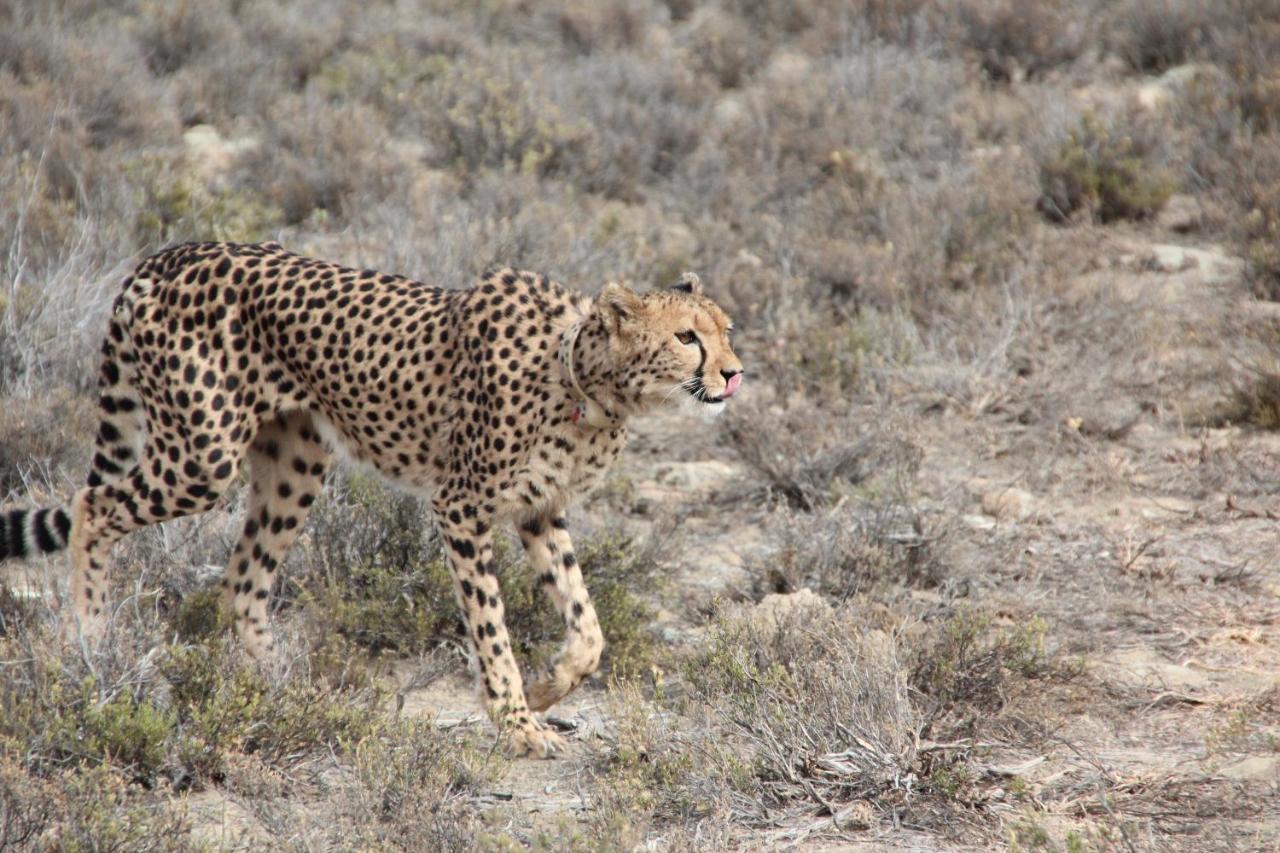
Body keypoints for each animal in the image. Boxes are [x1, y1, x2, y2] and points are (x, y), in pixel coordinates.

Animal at [0, 242, 742, 753]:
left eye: (726, 329)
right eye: (687, 336)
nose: (735, 373)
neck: (583, 379)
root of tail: (169, 253)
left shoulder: (539, 511)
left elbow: (589, 628)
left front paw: (545, 687)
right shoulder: (462, 505)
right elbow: (492, 626)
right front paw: (516, 723)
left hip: (298, 462)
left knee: (241, 579)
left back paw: (285, 691)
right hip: (202, 456)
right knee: (93, 507)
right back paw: (92, 647)